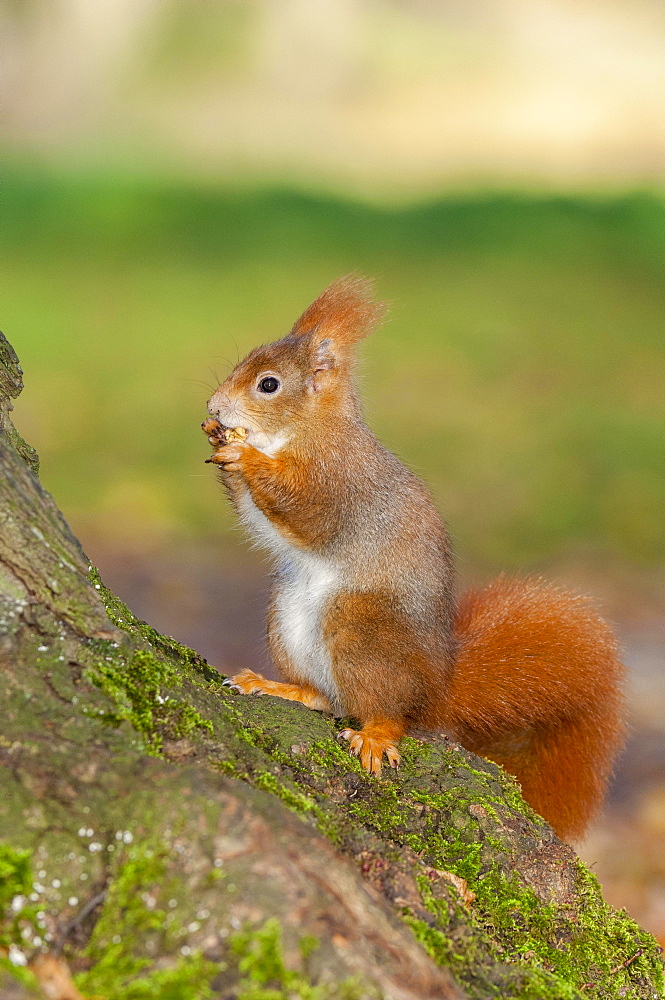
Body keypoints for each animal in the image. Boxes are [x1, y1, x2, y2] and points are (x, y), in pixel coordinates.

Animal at [205, 278, 624, 840]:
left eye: (268, 385)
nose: (215, 406)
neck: (304, 431)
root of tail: (434, 687)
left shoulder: (341, 482)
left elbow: (308, 509)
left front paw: (244, 454)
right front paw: (218, 440)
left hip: (361, 629)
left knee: (384, 709)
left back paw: (378, 732)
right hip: (286, 616)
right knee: (329, 699)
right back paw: (280, 687)